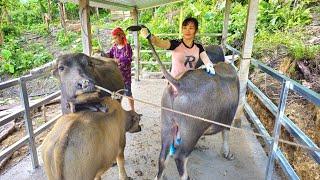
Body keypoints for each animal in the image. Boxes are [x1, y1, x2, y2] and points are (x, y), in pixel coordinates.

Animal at [153, 44, 240, 179]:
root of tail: (179, 84)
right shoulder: (228, 118)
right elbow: (226, 132)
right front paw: (228, 154)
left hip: (167, 122)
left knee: (163, 156)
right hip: (192, 130)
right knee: (180, 157)